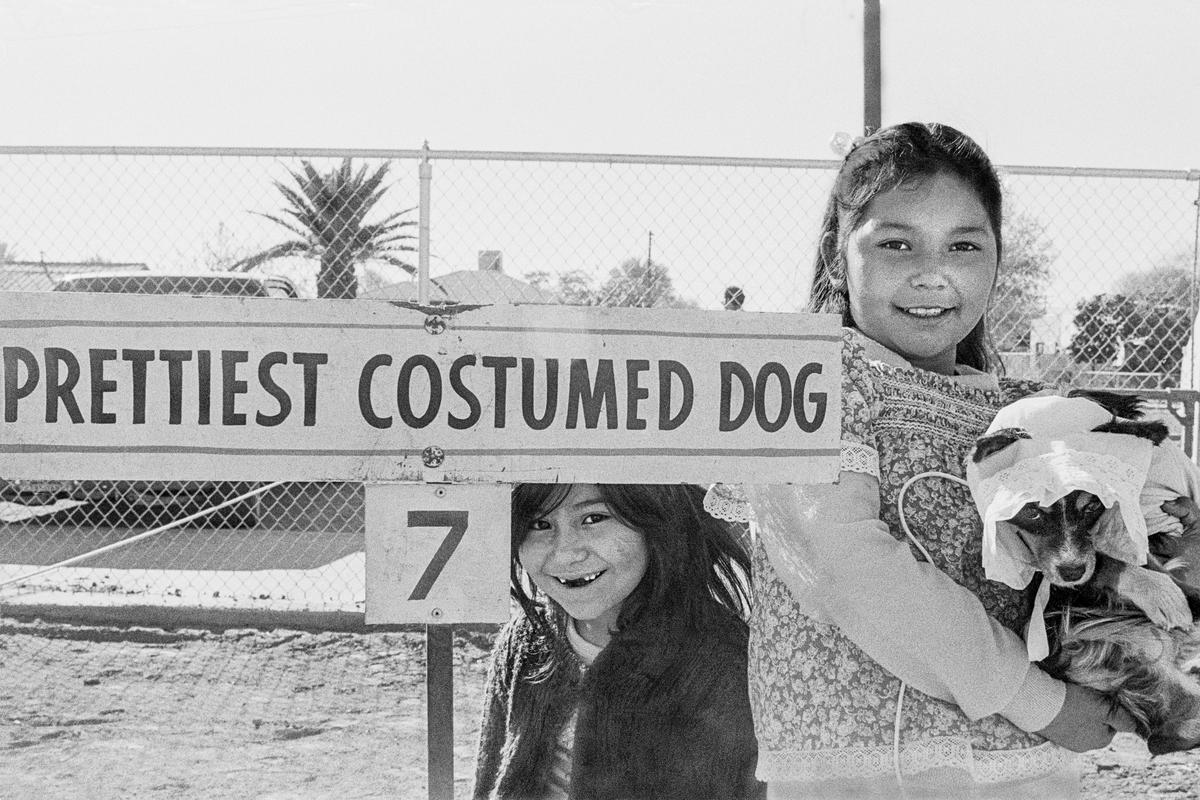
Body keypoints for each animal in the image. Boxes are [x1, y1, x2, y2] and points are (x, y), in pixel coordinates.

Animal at [964, 393, 1200, 758]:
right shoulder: (1052, 585)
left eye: (1091, 506)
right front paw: (1158, 592)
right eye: (1032, 511)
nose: (1071, 570)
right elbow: (1107, 562)